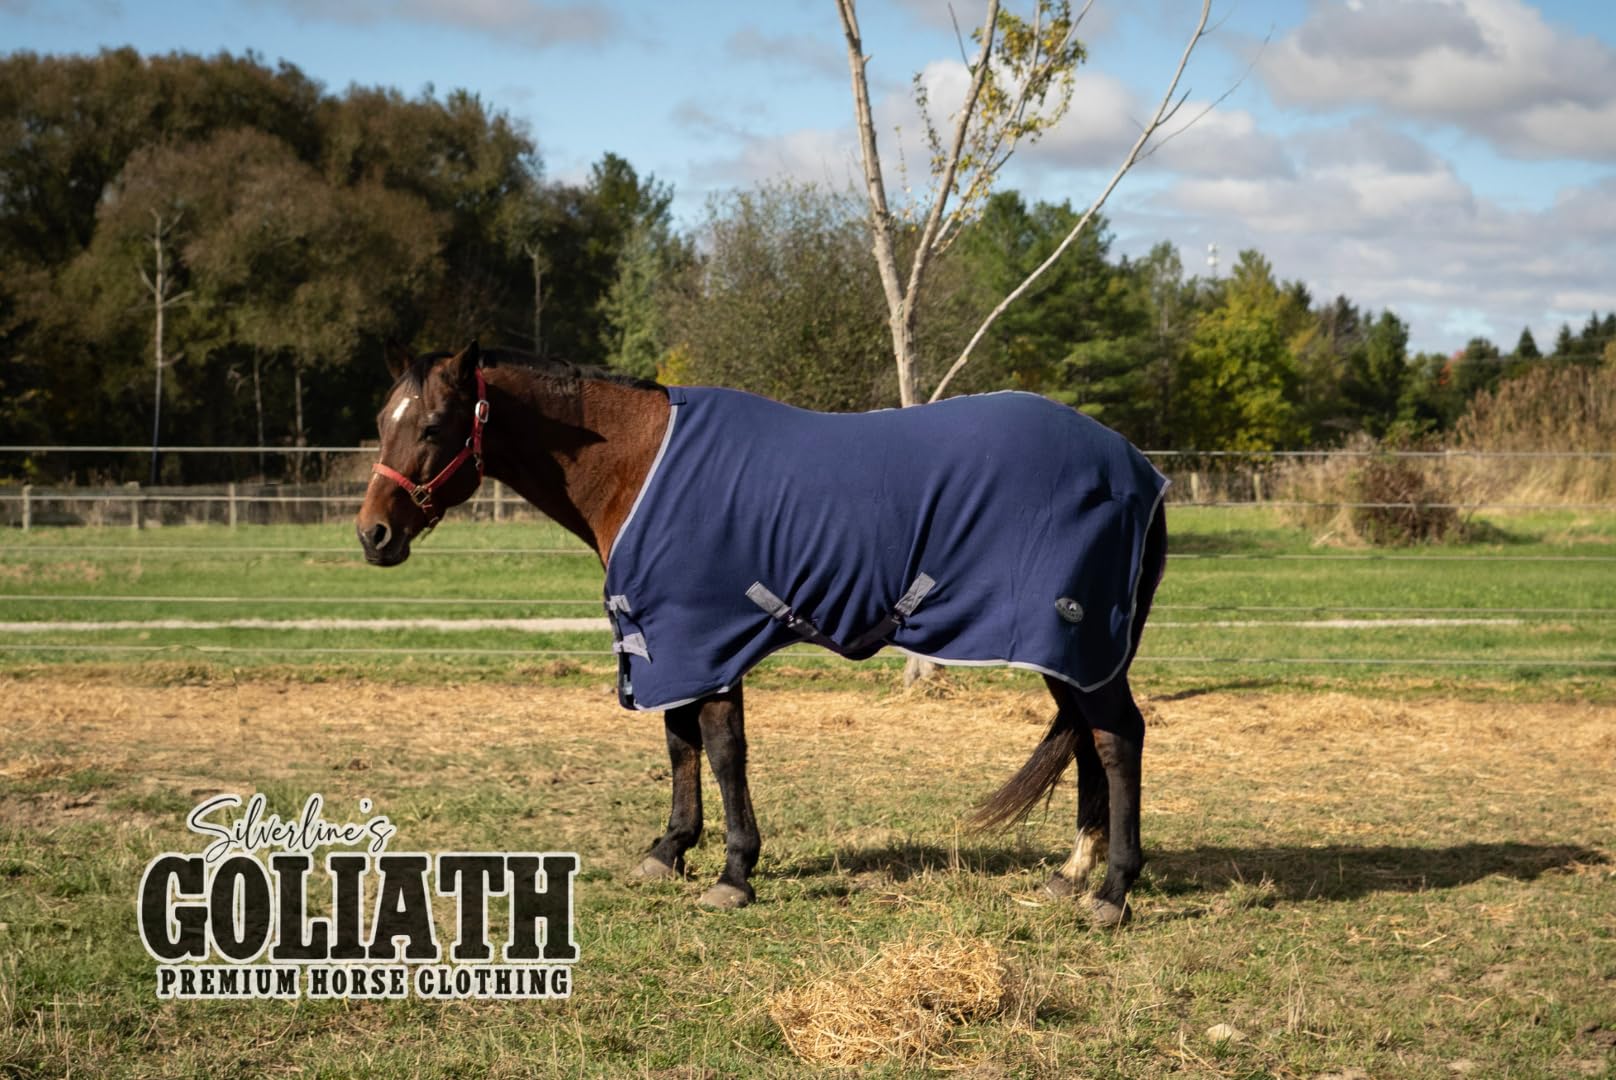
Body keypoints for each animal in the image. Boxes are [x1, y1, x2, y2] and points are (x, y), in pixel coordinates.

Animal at [355, 341, 1169, 927]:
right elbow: (679, 743)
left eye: (433, 426)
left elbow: (720, 749)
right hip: (1068, 652)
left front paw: (733, 873)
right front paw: (669, 851)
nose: (373, 535)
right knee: (1088, 741)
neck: (640, 464)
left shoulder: (706, 638)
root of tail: (1139, 469)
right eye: (381, 422)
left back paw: (1112, 892)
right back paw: (1072, 874)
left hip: (1076, 639)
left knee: (1117, 740)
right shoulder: (667, 644)